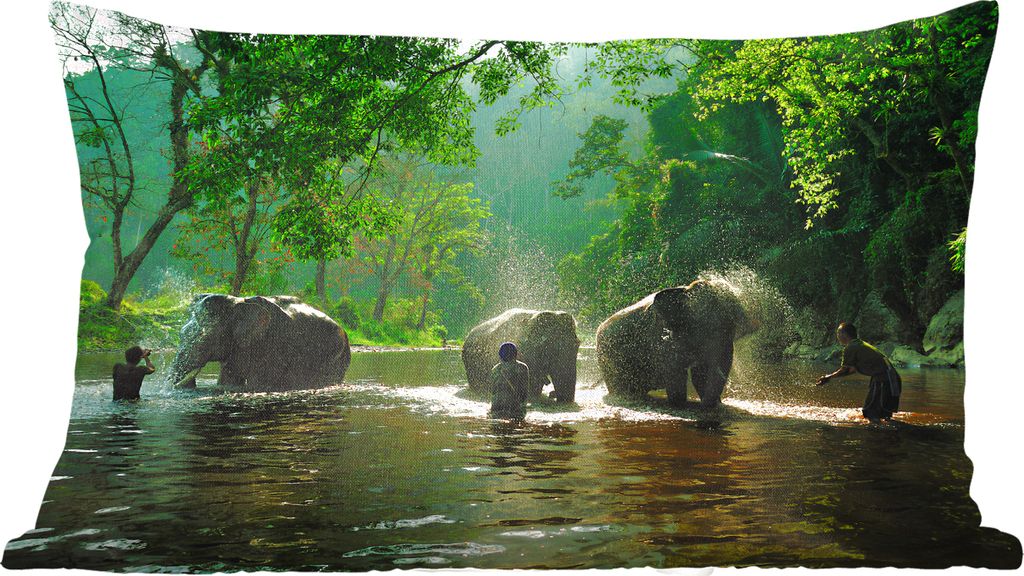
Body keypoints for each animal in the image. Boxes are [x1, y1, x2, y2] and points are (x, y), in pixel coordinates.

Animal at [167, 294, 350, 391]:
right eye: (181, 335)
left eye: (205, 338)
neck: (238, 302)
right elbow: (228, 380)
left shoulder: (272, 344)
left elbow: (259, 385)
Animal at [596, 279, 753, 409]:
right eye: (700, 325)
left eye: (732, 328)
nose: (718, 404)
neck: (685, 290)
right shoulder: (663, 338)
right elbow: (675, 372)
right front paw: (680, 405)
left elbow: (700, 372)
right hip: (608, 358)